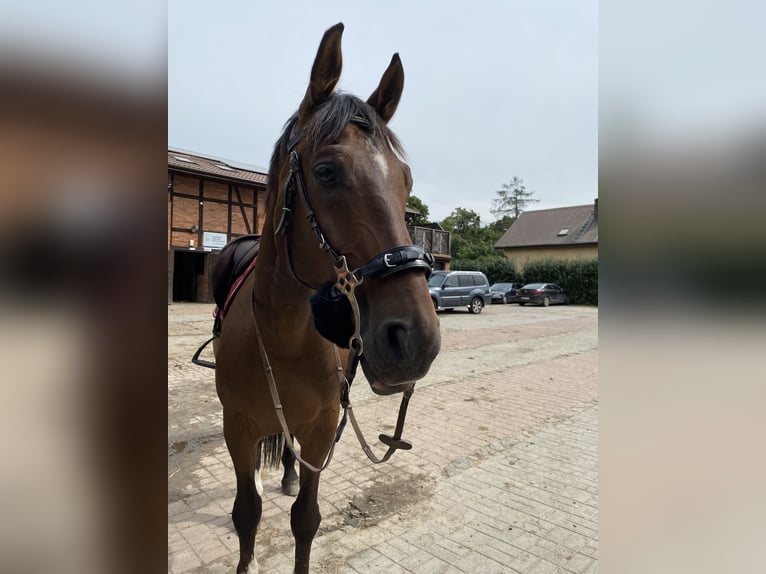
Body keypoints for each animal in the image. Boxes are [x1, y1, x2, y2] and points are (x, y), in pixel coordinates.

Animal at [212, 22, 441, 573]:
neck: (283, 336)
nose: (416, 339)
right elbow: (246, 513)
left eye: (406, 180)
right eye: (326, 172)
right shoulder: (237, 429)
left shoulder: (320, 428)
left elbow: (306, 518)